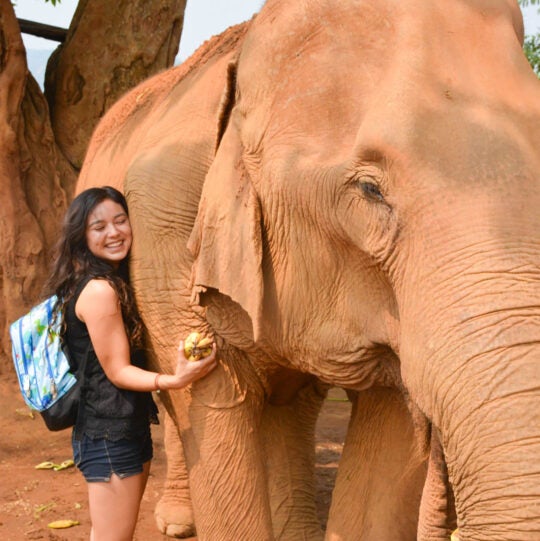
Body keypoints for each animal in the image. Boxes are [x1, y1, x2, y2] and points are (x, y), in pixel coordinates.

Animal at [77, 1, 540, 540]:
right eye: (369, 190)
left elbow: (389, 428)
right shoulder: (164, 229)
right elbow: (214, 401)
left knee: (291, 406)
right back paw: (177, 521)